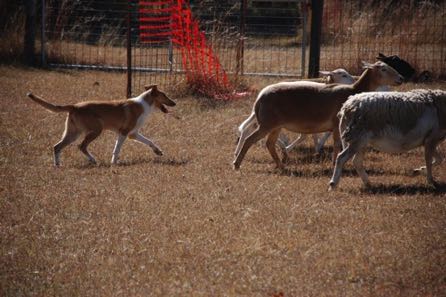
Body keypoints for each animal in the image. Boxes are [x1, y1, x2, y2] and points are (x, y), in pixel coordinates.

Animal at [25, 84, 176, 165]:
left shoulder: (133, 134)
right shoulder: (124, 132)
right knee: (81, 146)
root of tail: (74, 106)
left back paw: (57, 165)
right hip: (96, 130)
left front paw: (158, 151)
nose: (174, 103)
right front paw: (114, 162)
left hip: (73, 133)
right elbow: (117, 149)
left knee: (57, 147)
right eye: (165, 95)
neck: (144, 104)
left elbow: (150, 141)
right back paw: (93, 160)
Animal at [235, 60, 402, 169]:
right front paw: (335, 163)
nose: (401, 78)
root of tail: (259, 98)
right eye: (384, 69)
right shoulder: (336, 123)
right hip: (267, 123)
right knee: (249, 139)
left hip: (275, 125)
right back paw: (236, 164)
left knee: (269, 143)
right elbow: (337, 144)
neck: (353, 90)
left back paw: (281, 165)